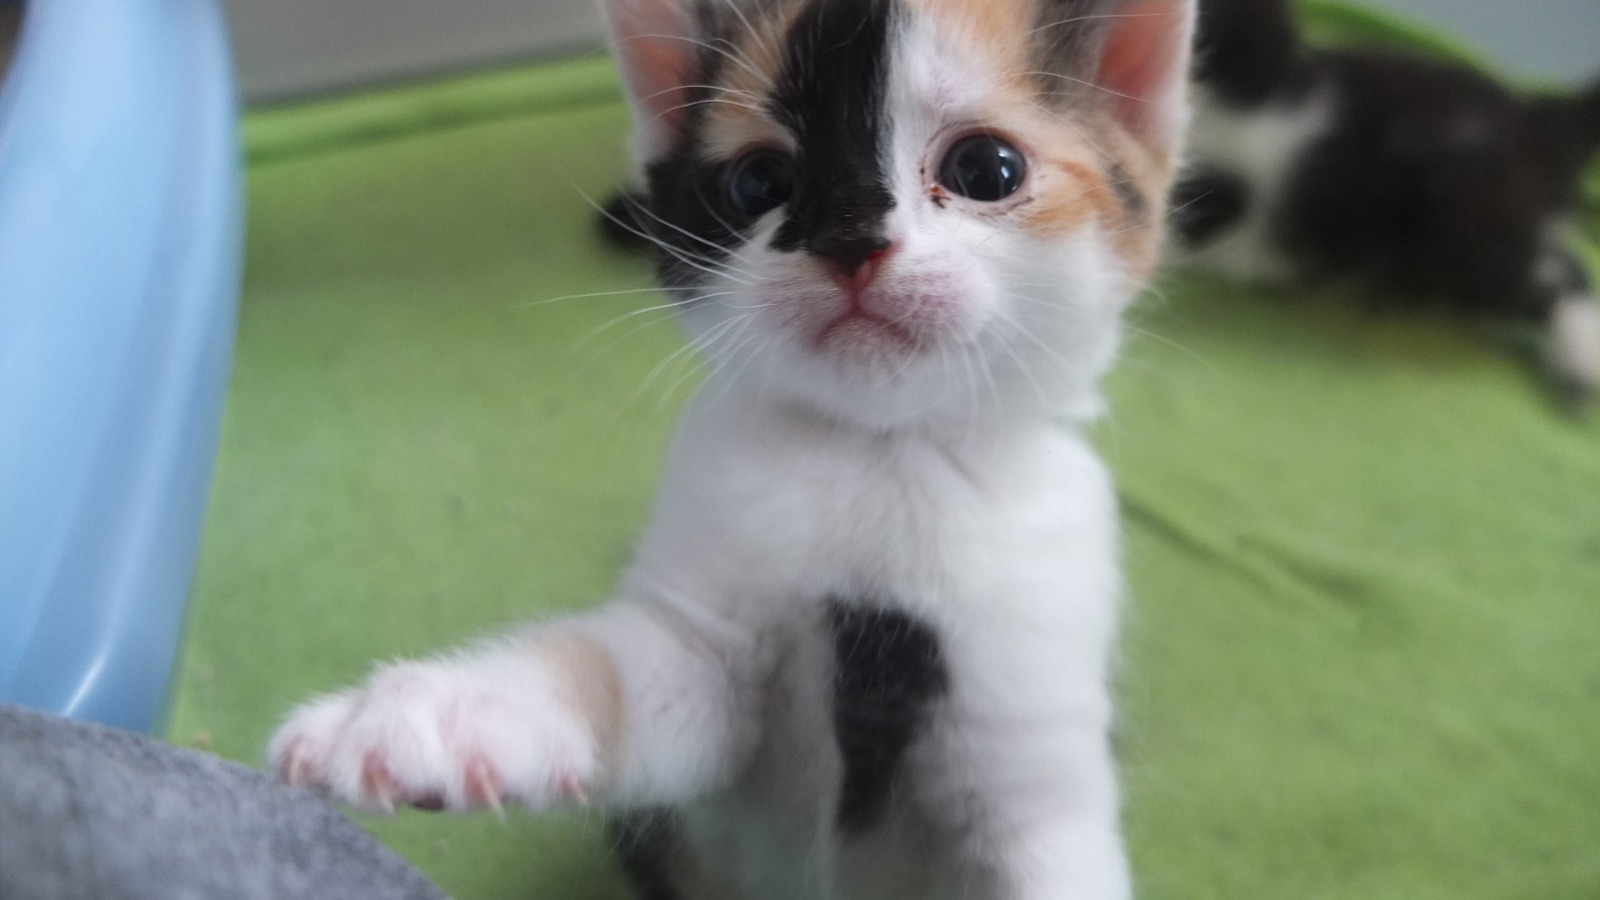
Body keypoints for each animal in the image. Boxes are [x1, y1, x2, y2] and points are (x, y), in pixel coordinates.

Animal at [268, 1, 1196, 898]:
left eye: (987, 170)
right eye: (759, 182)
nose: (850, 239)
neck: (883, 455)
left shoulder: (1030, 738)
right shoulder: (703, 658)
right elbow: (614, 679)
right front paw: (435, 717)